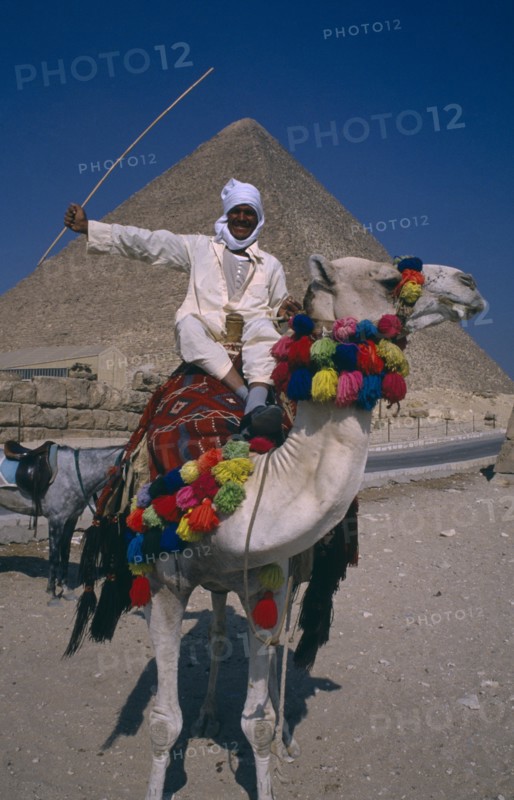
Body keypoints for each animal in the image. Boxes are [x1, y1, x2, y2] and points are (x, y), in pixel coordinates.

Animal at [70, 255, 485, 800]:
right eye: (390, 279)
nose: (469, 283)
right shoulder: (162, 587)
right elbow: (163, 722)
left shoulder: (270, 582)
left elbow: (259, 721)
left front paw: (269, 753)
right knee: (218, 628)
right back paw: (207, 714)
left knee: (262, 643)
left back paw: (268, 728)